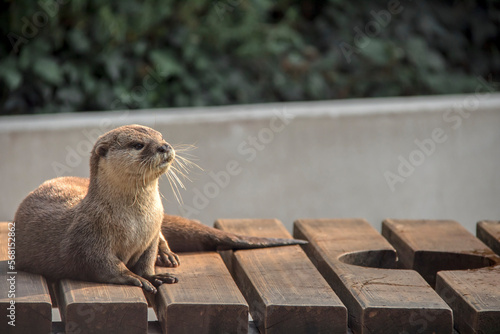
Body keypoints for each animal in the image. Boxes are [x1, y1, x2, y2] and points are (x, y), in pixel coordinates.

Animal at [13, 124, 306, 292]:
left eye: (161, 136)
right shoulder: (87, 239)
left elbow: (147, 256)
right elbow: (102, 264)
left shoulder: (151, 234)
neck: (135, 222)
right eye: (138, 145)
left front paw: (153, 274)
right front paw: (135, 278)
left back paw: (167, 255)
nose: (165, 146)